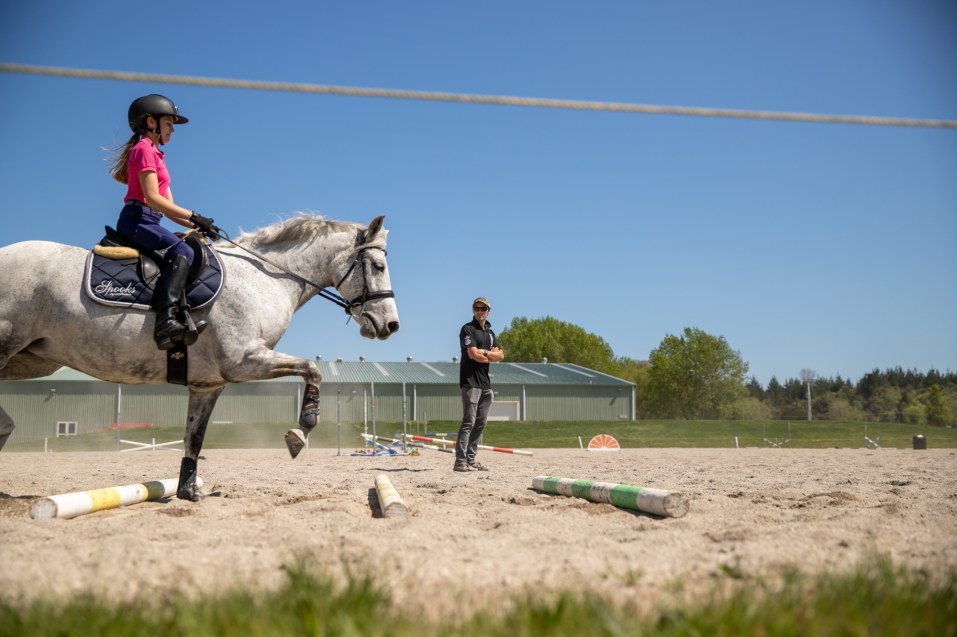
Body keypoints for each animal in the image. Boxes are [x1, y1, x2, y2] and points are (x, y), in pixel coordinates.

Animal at [0, 216, 396, 500]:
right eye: (378, 266)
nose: (391, 325)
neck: (264, 280)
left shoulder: (209, 383)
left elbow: (195, 437)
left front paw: (188, 491)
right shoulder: (243, 360)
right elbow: (312, 369)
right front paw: (302, 429)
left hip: (32, 360)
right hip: (9, 344)